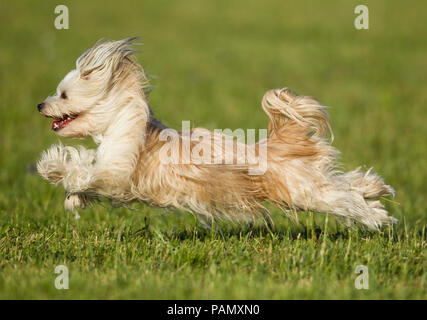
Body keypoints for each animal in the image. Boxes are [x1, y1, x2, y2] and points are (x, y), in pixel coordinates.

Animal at [36, 37, 398, 230]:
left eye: (63, 95)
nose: (40, 104)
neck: (122, 120)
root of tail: (278, 143)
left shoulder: (118, 174)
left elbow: (84, 171)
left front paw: (51, 168)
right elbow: (83, 170)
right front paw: (72, 198)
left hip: (304, 191)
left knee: (344, 200)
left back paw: (375, 217)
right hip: (310, 180)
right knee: (346, 182)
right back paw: (376, 189)